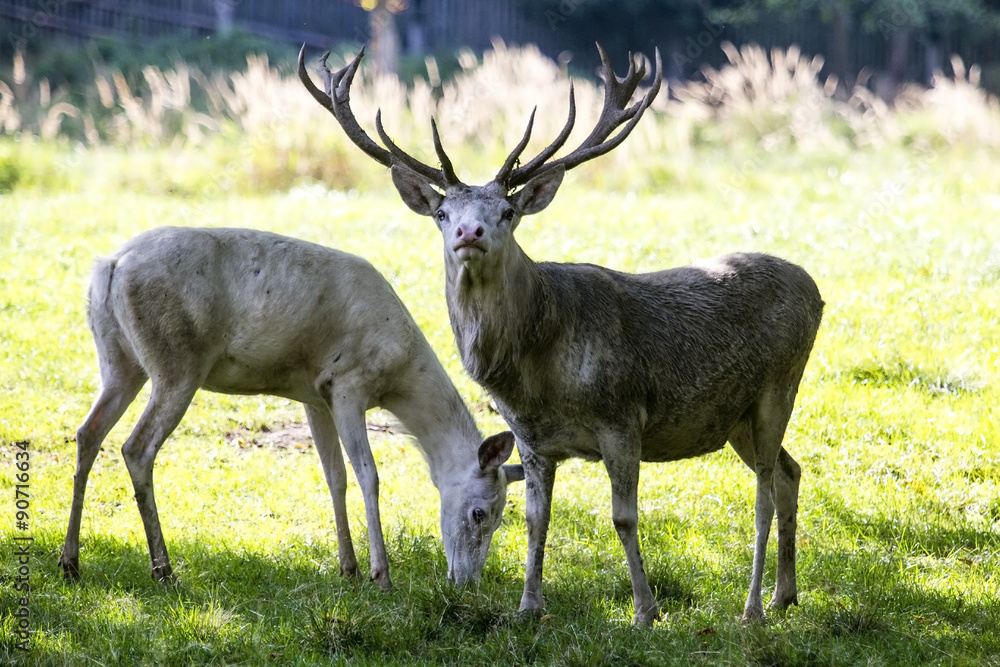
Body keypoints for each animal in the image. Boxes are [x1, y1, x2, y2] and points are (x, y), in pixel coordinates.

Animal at [60, 226, 524, 589]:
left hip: (118, 360)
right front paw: (381, 575)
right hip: (176, 364)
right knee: (136, 447)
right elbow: (368, 475)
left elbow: (334, 476)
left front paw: (348, 569)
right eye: (480, 513)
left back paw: (70, 562)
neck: (398, 374)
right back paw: (163, 570)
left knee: (88, 432)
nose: (466, 583)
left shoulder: (315, 395)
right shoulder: (347, 383)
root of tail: (109, 266)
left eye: (502, 516)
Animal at [298, 43, 823, 625]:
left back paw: (752, 607)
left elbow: (623, 518)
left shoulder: (623, 417)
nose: (469, 232)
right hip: (734, 416)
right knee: (790, 471)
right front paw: (528, 606)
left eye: (507, 210)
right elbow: (536, 519)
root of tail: (814, 287)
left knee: (764, 493)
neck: (537, 376)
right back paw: (784, 594)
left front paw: (645, 611)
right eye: (442, 211)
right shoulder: (531, 441)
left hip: (779, 386)